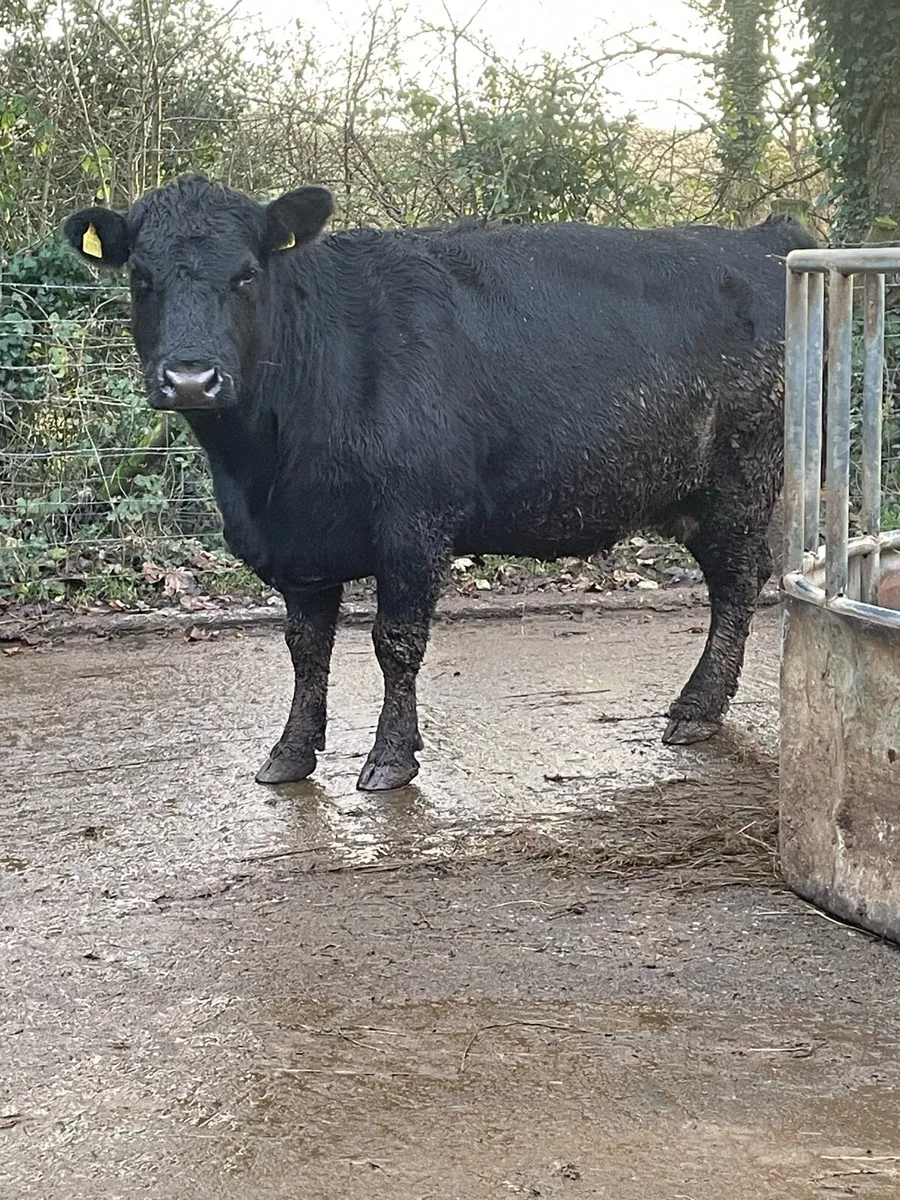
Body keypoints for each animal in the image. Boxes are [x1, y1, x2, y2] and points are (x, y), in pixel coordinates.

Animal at [64, 175, 815, 791]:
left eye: (246, 276)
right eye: (142, 278)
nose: (191, 377)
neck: (262, 470)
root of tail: (764, 237)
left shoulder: (412, 523)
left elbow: (396, 643)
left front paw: (391, 757)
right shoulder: (299, 545)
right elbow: (306, 650)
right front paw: (290, 753)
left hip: (741, 480)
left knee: (737, 584)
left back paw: (697, 709)